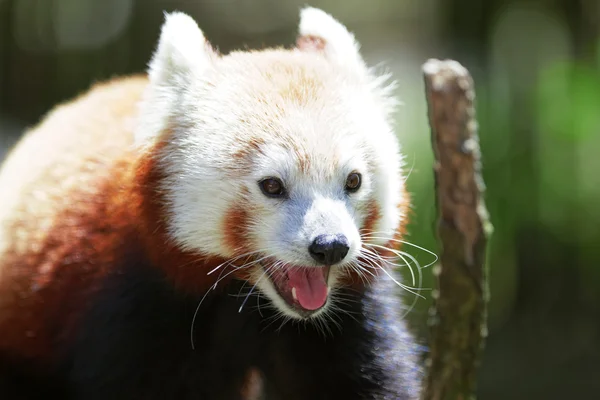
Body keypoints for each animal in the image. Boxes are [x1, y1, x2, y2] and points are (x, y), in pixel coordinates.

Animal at [0, 7, 422, 400]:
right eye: (272, 185)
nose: (331, 246)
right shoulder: (132, 302)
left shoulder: (348, 318)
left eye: (353, 181)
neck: (246, 297)